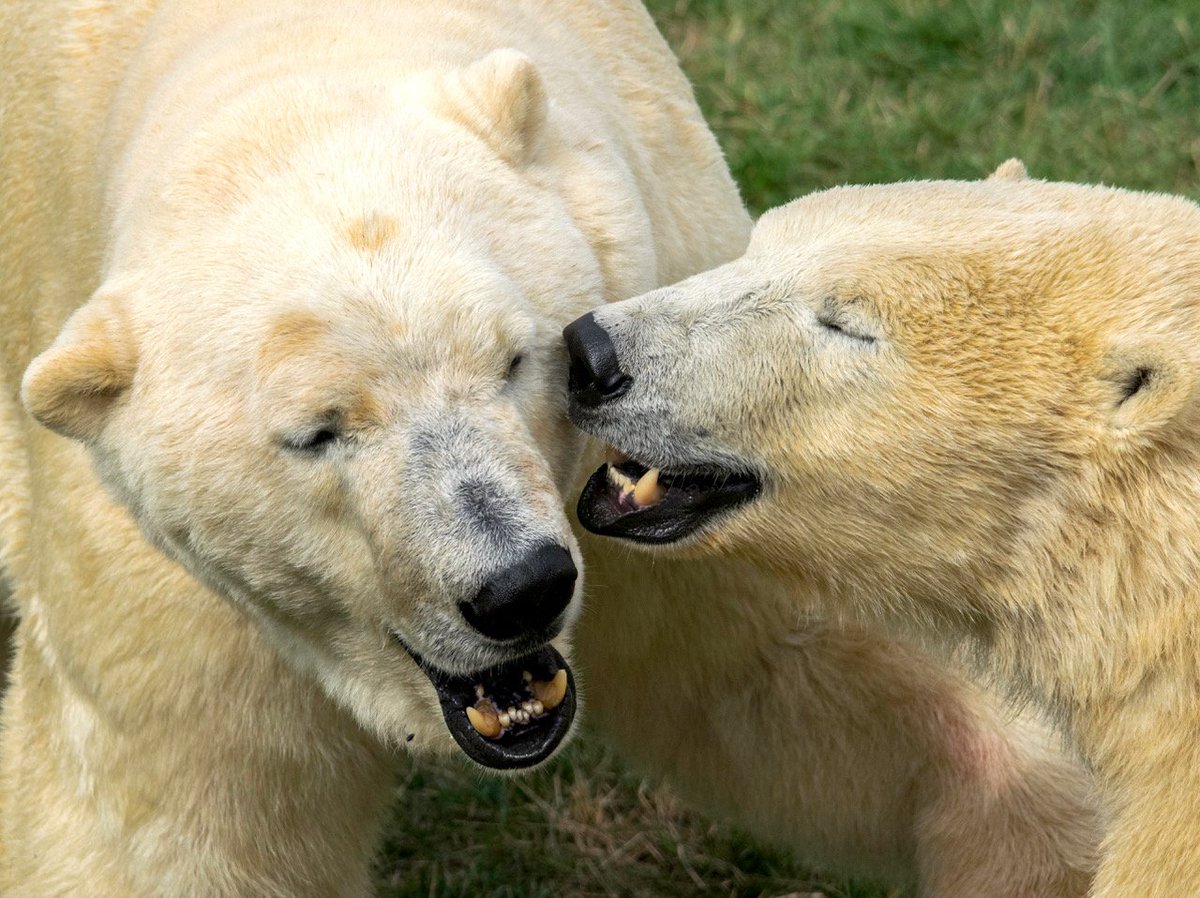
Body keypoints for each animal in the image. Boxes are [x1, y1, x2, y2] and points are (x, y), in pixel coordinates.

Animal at [0, 0, 1098, 894]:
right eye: (315, 433)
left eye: (514, 358)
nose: (517, 589)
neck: (292, 61)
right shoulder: (164, 566)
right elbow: (170, 818)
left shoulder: (673, 415)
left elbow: (798, 660)